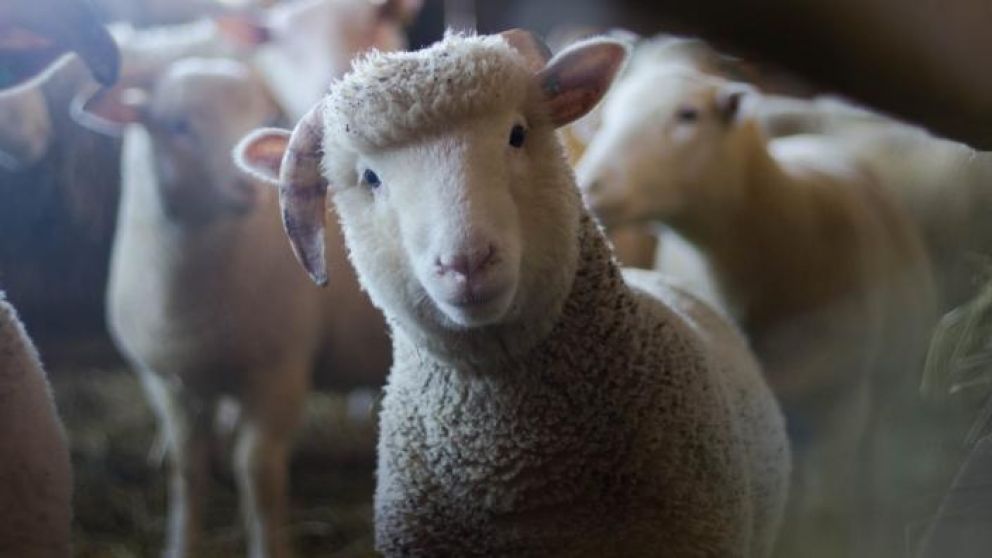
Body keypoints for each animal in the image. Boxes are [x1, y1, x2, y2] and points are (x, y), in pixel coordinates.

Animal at [75, 57, 390, 557]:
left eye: (263, 115)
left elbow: (257, 471)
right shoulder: (166, 382)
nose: (247, 187)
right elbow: (186, 469)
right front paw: (180, 545)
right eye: (179, 125)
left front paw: (269, 547)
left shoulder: (281, 371)